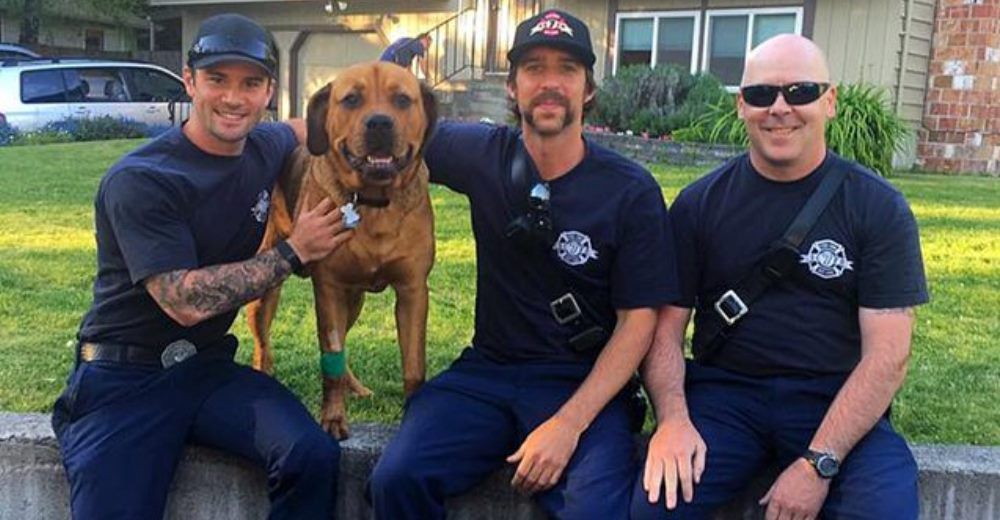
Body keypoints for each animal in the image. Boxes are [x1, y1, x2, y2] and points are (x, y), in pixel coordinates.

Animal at [245, 63, 434, 440]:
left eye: (402, 99)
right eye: (351, 99)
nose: (379, 123)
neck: (374, 203)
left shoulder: (413, 290)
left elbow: (413, 365)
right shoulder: (329, 288)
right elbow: (329, 360)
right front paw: (333, 418)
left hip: (355, 299)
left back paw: (356, 387)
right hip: (266, 288)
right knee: (263, 343)